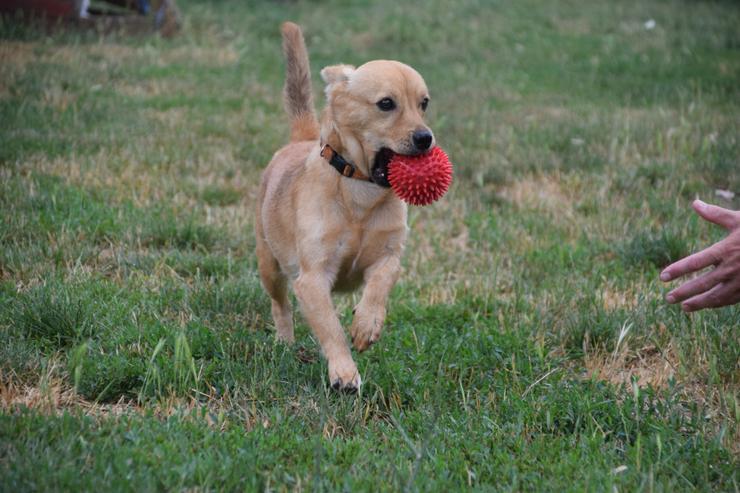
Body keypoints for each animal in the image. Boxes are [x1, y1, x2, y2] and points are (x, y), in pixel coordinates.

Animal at [256, 22, 434, 392]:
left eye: (423, 103)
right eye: (386, 104)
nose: (426, 138)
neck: (361, 194)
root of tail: (300, 139)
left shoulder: (389, 256)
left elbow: (380, 284)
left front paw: (366, 325)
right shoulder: (312, 280)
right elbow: (331, 329)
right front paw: (344, 372)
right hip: (269, 266)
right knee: (280, 305)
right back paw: (284, 341)